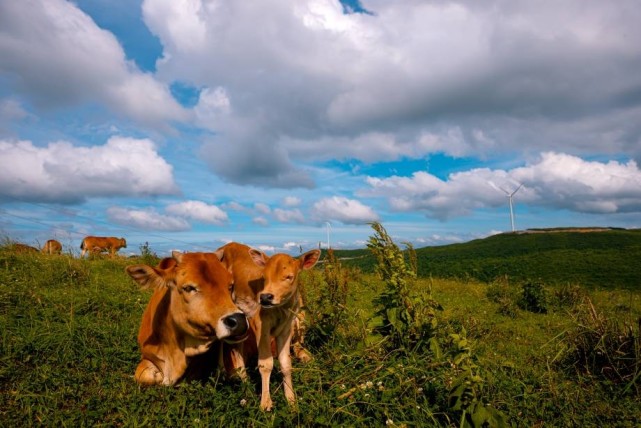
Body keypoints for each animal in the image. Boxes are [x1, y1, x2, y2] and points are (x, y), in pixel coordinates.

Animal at [218, 242, 320, 410]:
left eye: (289, 277)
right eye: (264, 277)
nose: (265, 297)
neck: (280, 310)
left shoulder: (286, 328)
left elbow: (285, 363)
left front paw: (291, 399)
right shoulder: (261, 327)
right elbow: (266, 364)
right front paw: (266, 402)